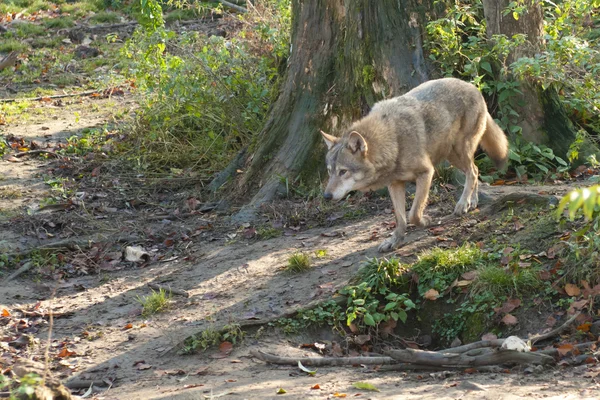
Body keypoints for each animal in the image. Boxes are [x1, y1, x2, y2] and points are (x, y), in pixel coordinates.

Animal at [322, 77, 508, 252]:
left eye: (343, 172)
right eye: (330, 172)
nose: (326, 196)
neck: (393, 141)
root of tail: (472, 86)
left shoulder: (426, 173)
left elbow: (413, 214)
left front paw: (425, 221)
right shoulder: (395, 184)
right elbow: (400, 218)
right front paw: (395, 240)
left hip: (459, 152)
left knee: (473, 171)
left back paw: (463, 204)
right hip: (452, 156)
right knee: (475, 170)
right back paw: (472, 201)